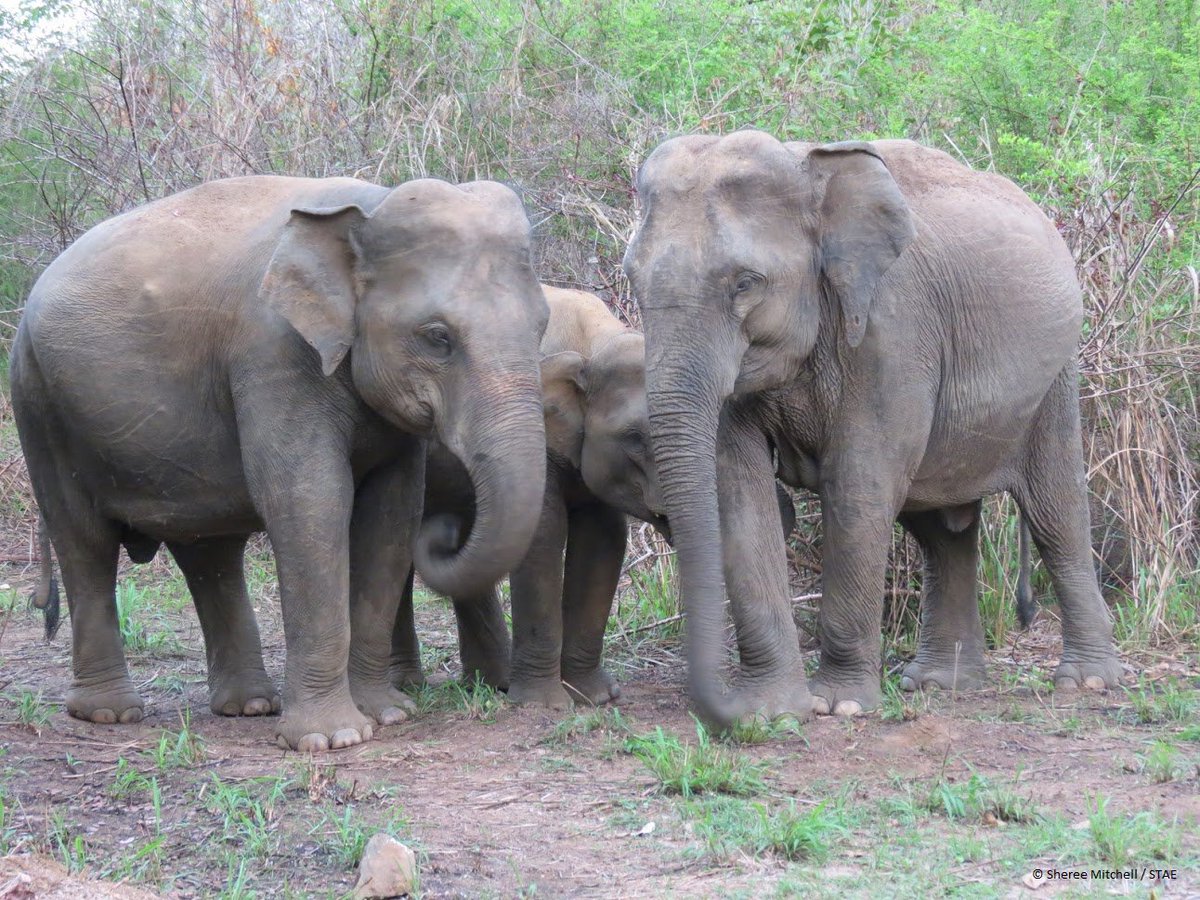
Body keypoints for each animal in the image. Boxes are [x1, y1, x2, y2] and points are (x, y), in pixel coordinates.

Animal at [10, 174, 549, 753]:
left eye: (542, 327)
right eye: (437, 337)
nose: (448, 531)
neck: (368, 206)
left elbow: (391, 514)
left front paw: (386, 714)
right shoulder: (274, 354)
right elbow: (311, 500)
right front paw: (332, 739)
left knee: (210, 553)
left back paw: (248, 706)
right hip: (38, 404)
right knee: (84, 540)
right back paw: (110, 714)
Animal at [624, 130, 1128, 729]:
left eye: (746, 283)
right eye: (632, 278)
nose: (717, 713)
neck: (810, 173)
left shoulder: (894, 332)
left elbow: (857, 486)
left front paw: (837, 706)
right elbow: (738, 489)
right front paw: (771, 712)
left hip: (1055, 377)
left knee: (1055, 513)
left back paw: (1086, 681)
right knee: (940, 531)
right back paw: (938, 684)